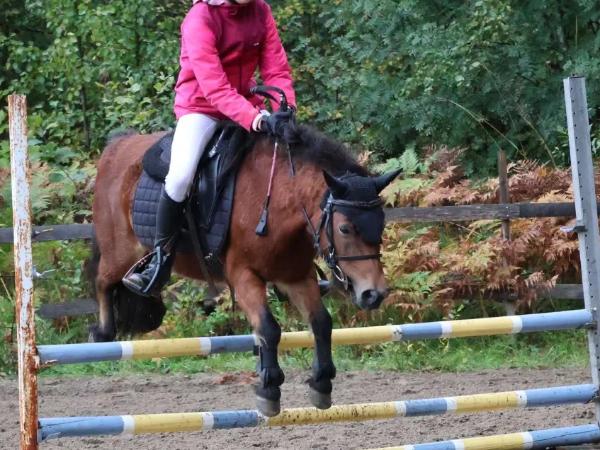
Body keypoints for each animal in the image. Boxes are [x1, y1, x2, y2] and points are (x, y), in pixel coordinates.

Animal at [89, 122, 399, 416]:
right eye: (345, 228)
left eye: (382, 222)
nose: (374, 294)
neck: (276, 201)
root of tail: (117, 146)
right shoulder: (244, 277)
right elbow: (269, 328)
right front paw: (269, 388)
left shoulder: (297, 276)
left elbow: (321, 323)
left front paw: (321, 383)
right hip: (120, 251)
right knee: (103, 281)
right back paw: (102, 333)